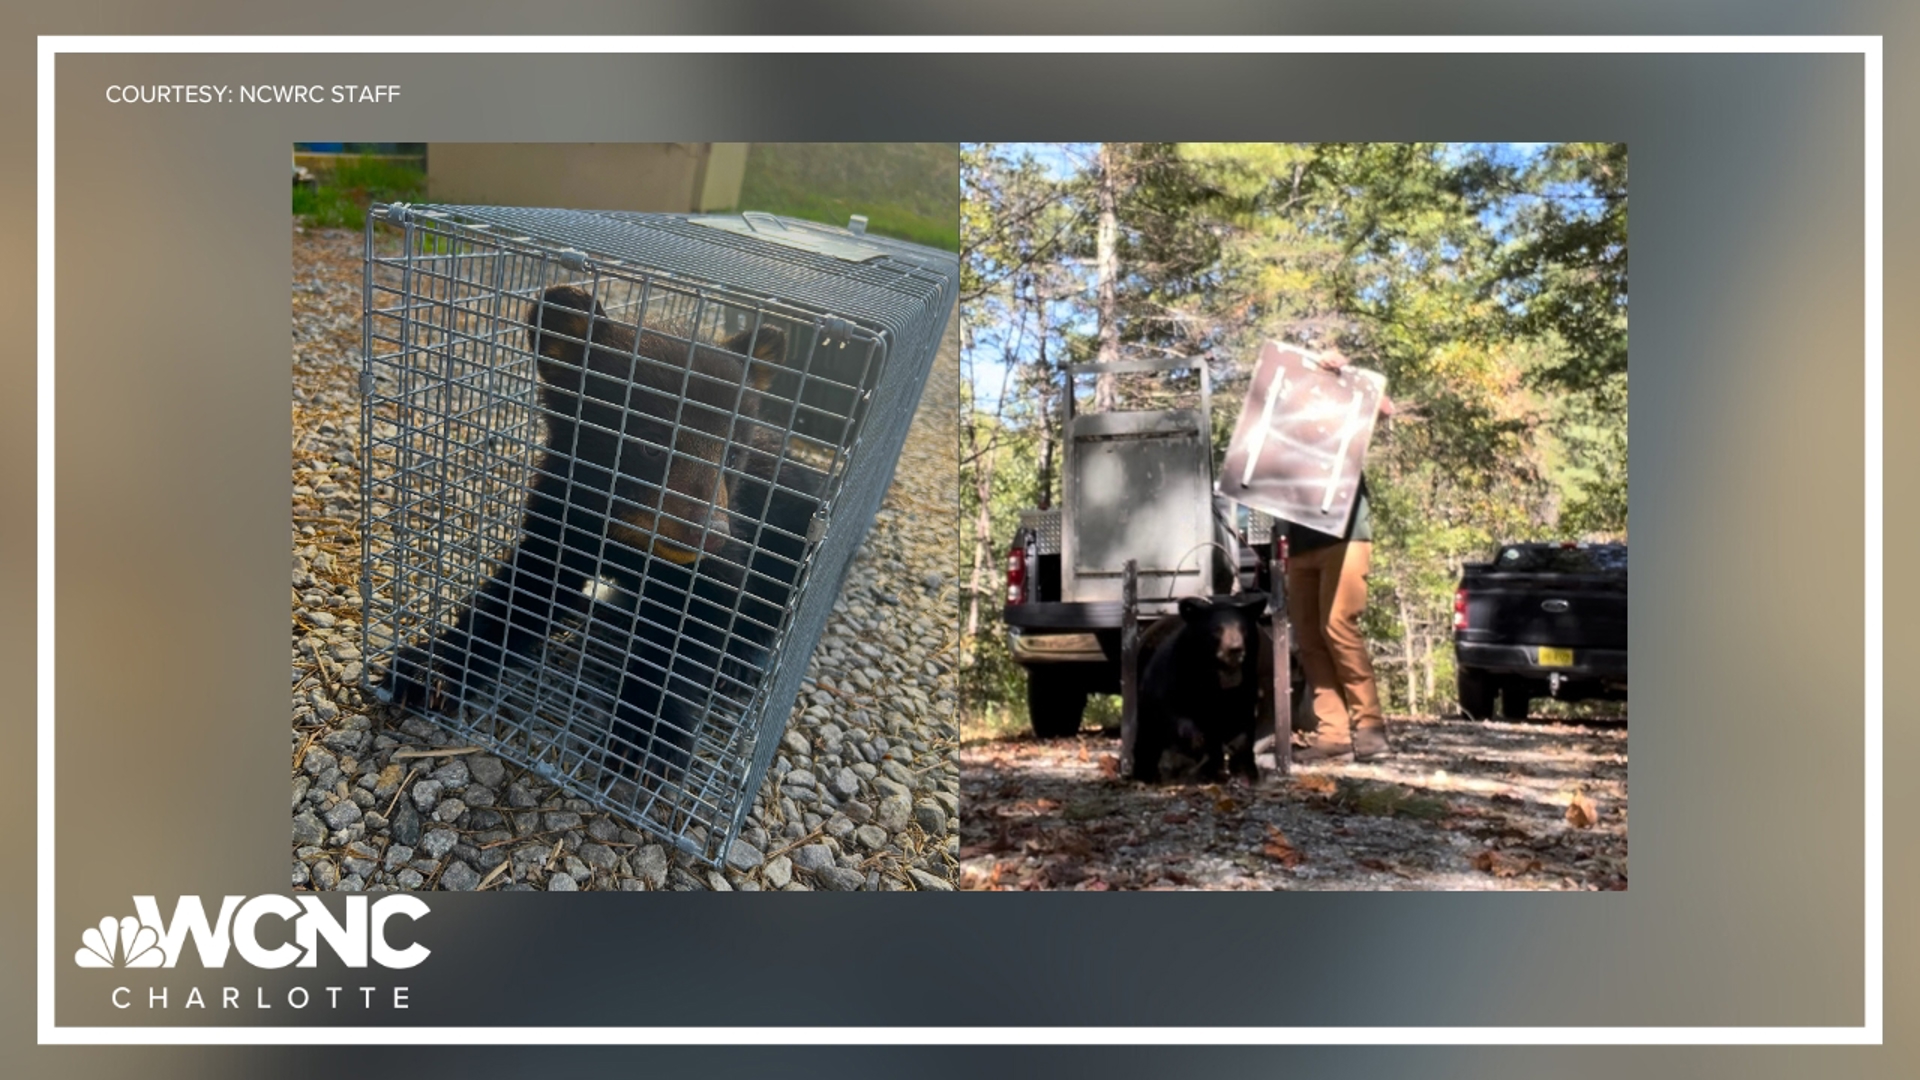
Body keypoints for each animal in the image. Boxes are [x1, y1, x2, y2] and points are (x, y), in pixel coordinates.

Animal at [380, 284, 817, 780]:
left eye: (733, 454)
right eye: (649, 444)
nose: (709, 535)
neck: (630, 536)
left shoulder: (728, 549)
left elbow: (698, 623)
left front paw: (650, 736)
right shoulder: (562, 512)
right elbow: (523, 592)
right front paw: (430, 669)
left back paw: (744, 660)